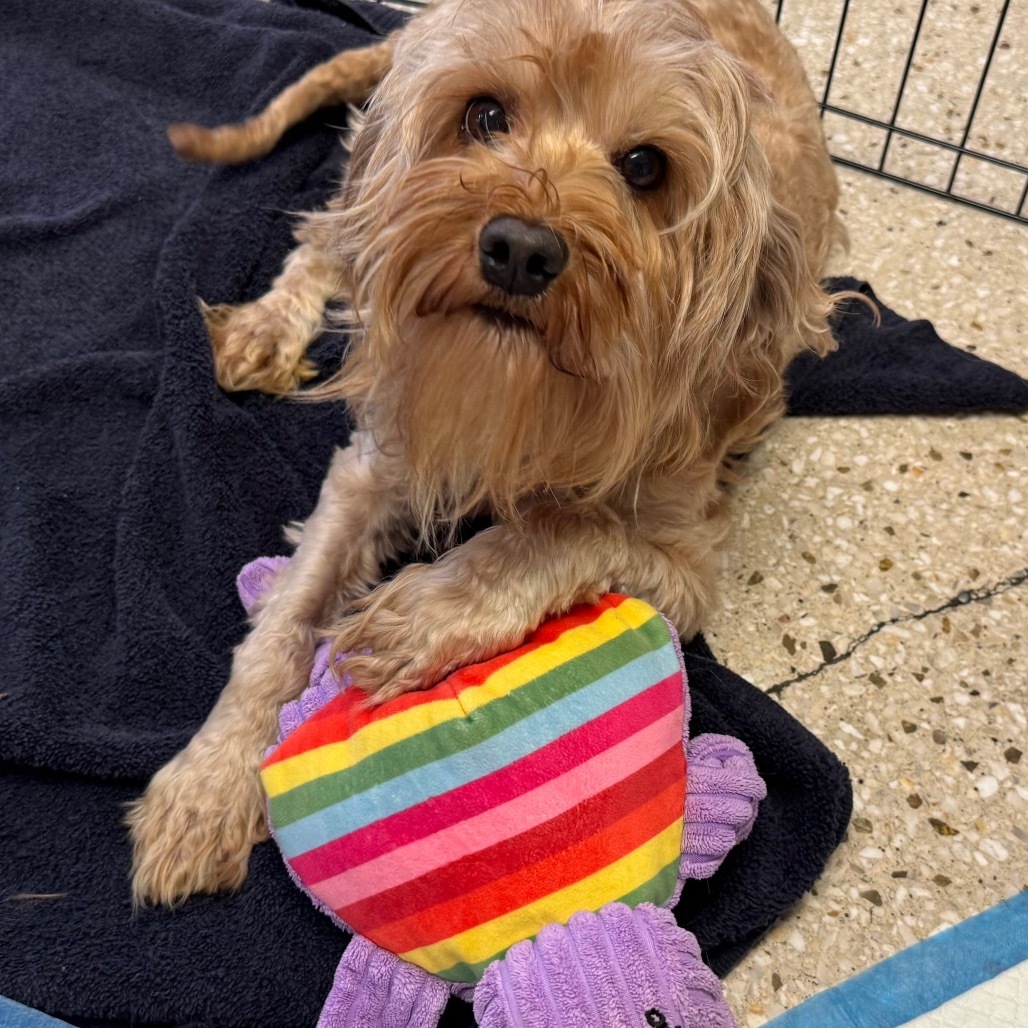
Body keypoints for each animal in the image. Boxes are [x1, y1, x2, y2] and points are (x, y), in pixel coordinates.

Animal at [126, 0, 842, 908]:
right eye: (486, 116)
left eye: (645, 166)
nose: (521, 249)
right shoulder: (378, 461)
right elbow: (285, 622)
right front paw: (208, 785)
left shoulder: (680, 561)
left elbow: (558, 531)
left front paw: (426, 612)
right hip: (370, 205)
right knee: (331, 235)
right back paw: (268, 323)